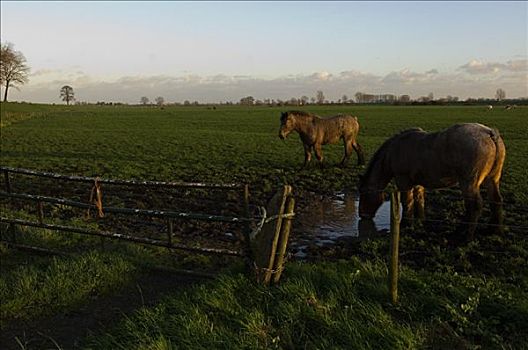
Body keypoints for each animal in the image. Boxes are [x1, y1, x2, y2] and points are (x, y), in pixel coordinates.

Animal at [360, 123, 506, 241]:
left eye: (364, 193)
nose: (362, 215)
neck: (395, 150)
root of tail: (489, 133)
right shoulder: (417, 183)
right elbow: (419, 200)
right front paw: (420, 221)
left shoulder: (403, 181)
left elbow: (407, 201)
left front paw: (406, 224)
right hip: (492, 180)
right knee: (496, 201)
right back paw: (493, 230)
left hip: (469, 183)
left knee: (474, 206)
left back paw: (466, 236)